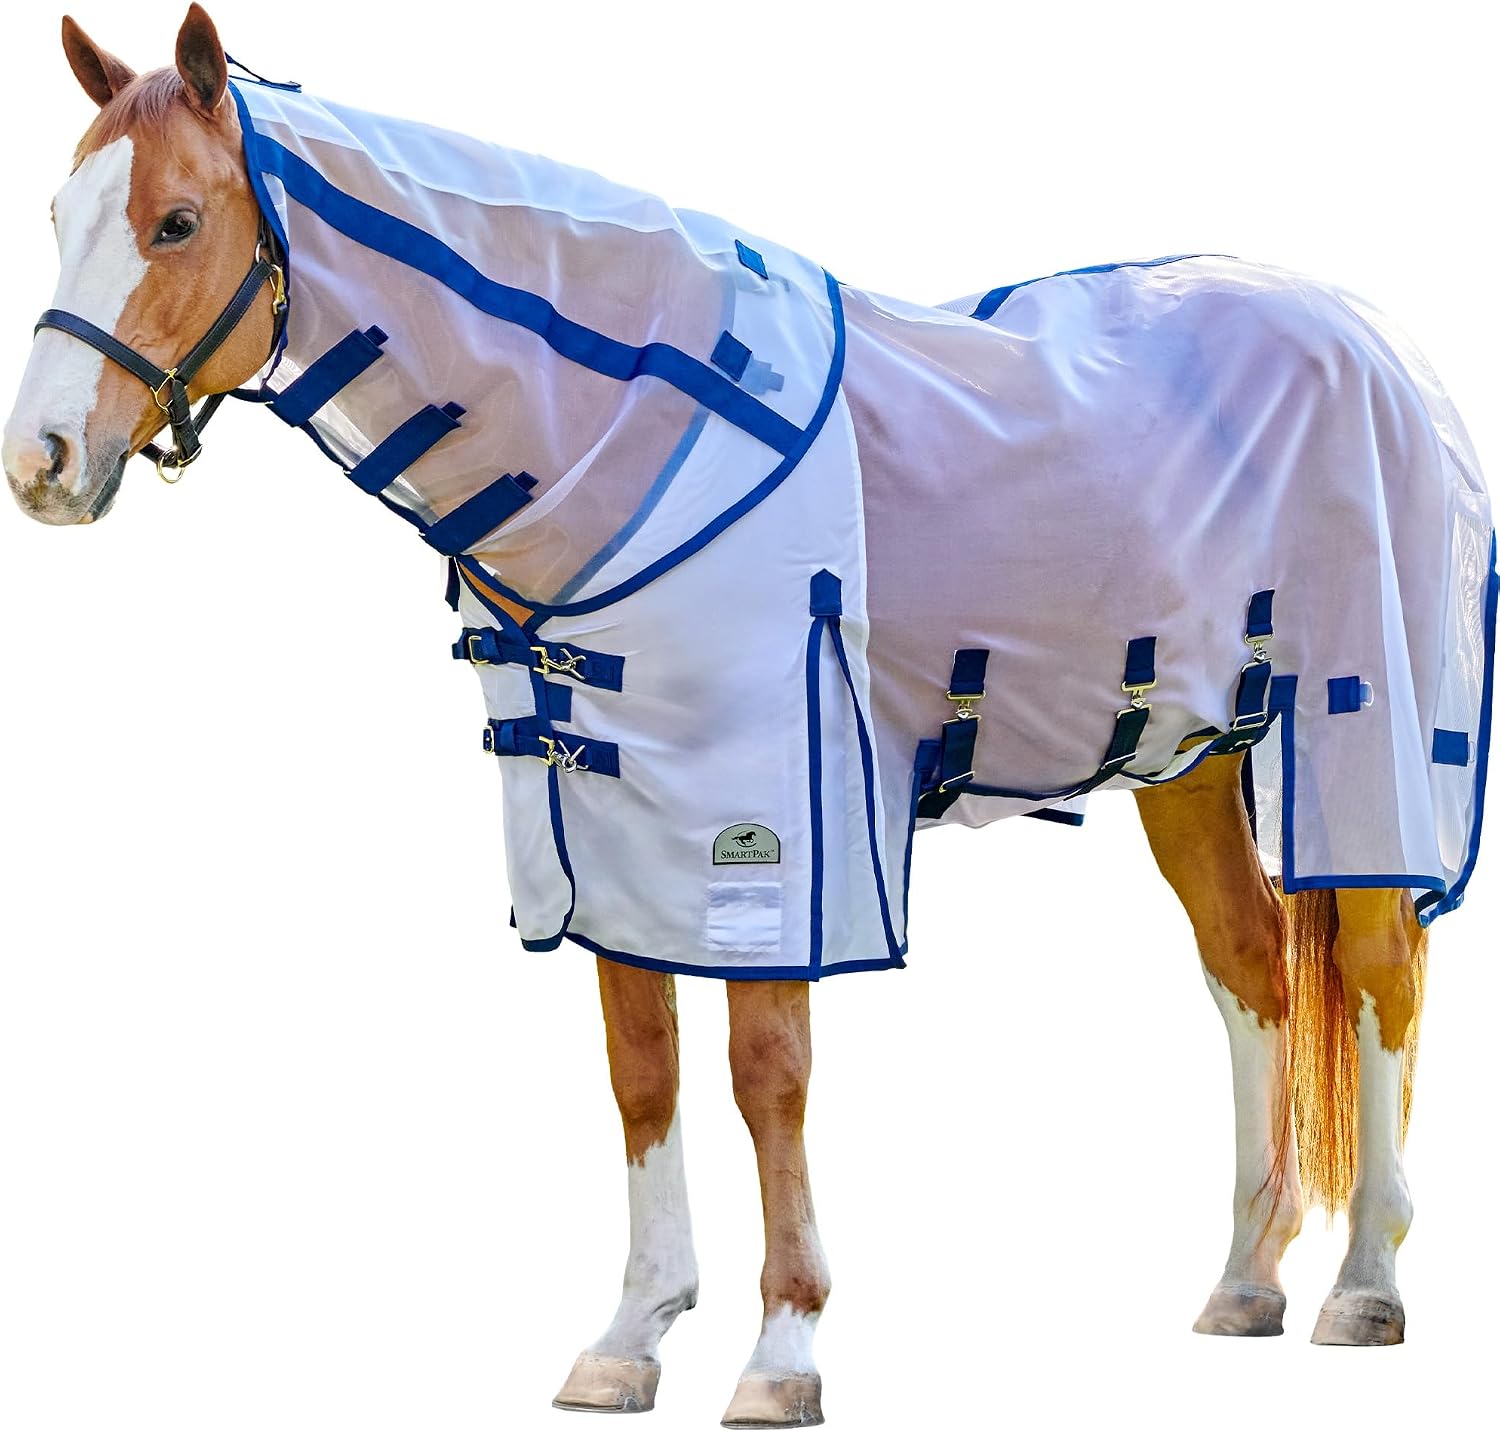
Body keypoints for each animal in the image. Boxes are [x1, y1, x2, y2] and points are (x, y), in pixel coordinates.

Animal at [4, 8, 1493, 1427]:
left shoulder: (771, 819)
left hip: (1359, 738)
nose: (40, 465)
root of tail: (1379, 345)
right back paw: (1245, 1281)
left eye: (176, 221)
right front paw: (628, 1339)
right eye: (59, 215)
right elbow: (643, 1070)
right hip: (1186, 759)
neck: (631, 430)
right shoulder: (601, 817)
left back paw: (1365, 1285)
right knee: (1249, 970)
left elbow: (766, 1072)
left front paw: (783, 1353)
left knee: (1379, 968)